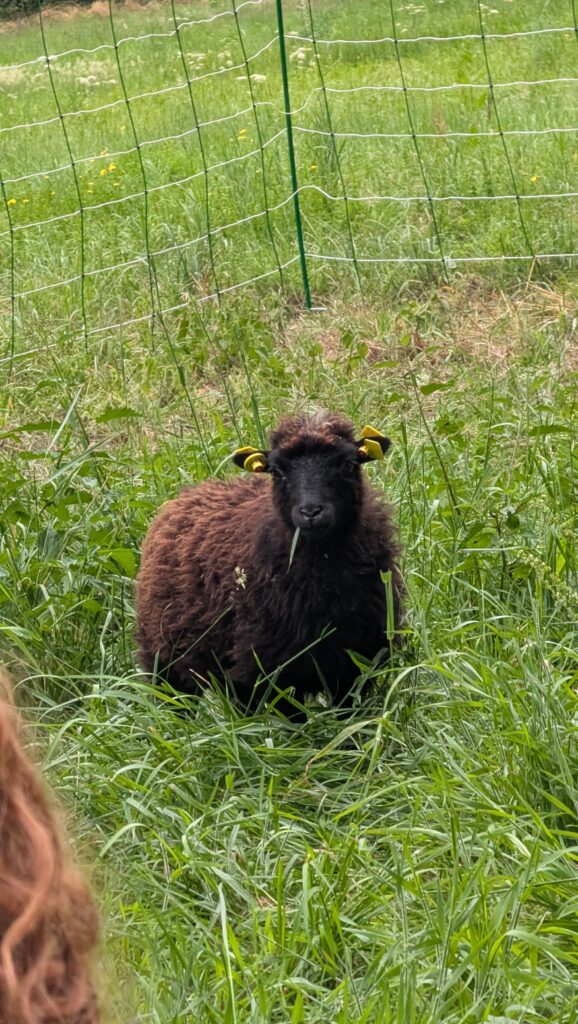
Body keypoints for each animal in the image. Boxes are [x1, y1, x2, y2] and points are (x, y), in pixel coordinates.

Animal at [135, 411, 403, 717]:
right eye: (277, 471)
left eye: (347, 465)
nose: (311, 512)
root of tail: (188, 493)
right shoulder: (271, 669)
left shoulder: (357, 661)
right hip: (165, 658)